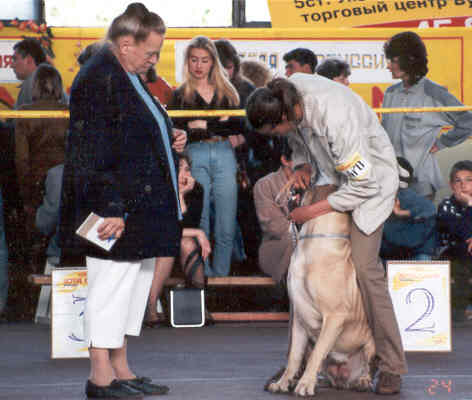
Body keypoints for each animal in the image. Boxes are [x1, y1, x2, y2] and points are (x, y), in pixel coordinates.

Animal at [270, 188, 376, 396]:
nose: (292, 189)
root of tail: (343, 379)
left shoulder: (334, 317)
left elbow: (317, 353)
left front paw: (304, 384)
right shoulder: (299, 318)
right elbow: (294, 356)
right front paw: (283, 382)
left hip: (371, 345)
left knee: (368, 366)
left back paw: (363, 381)